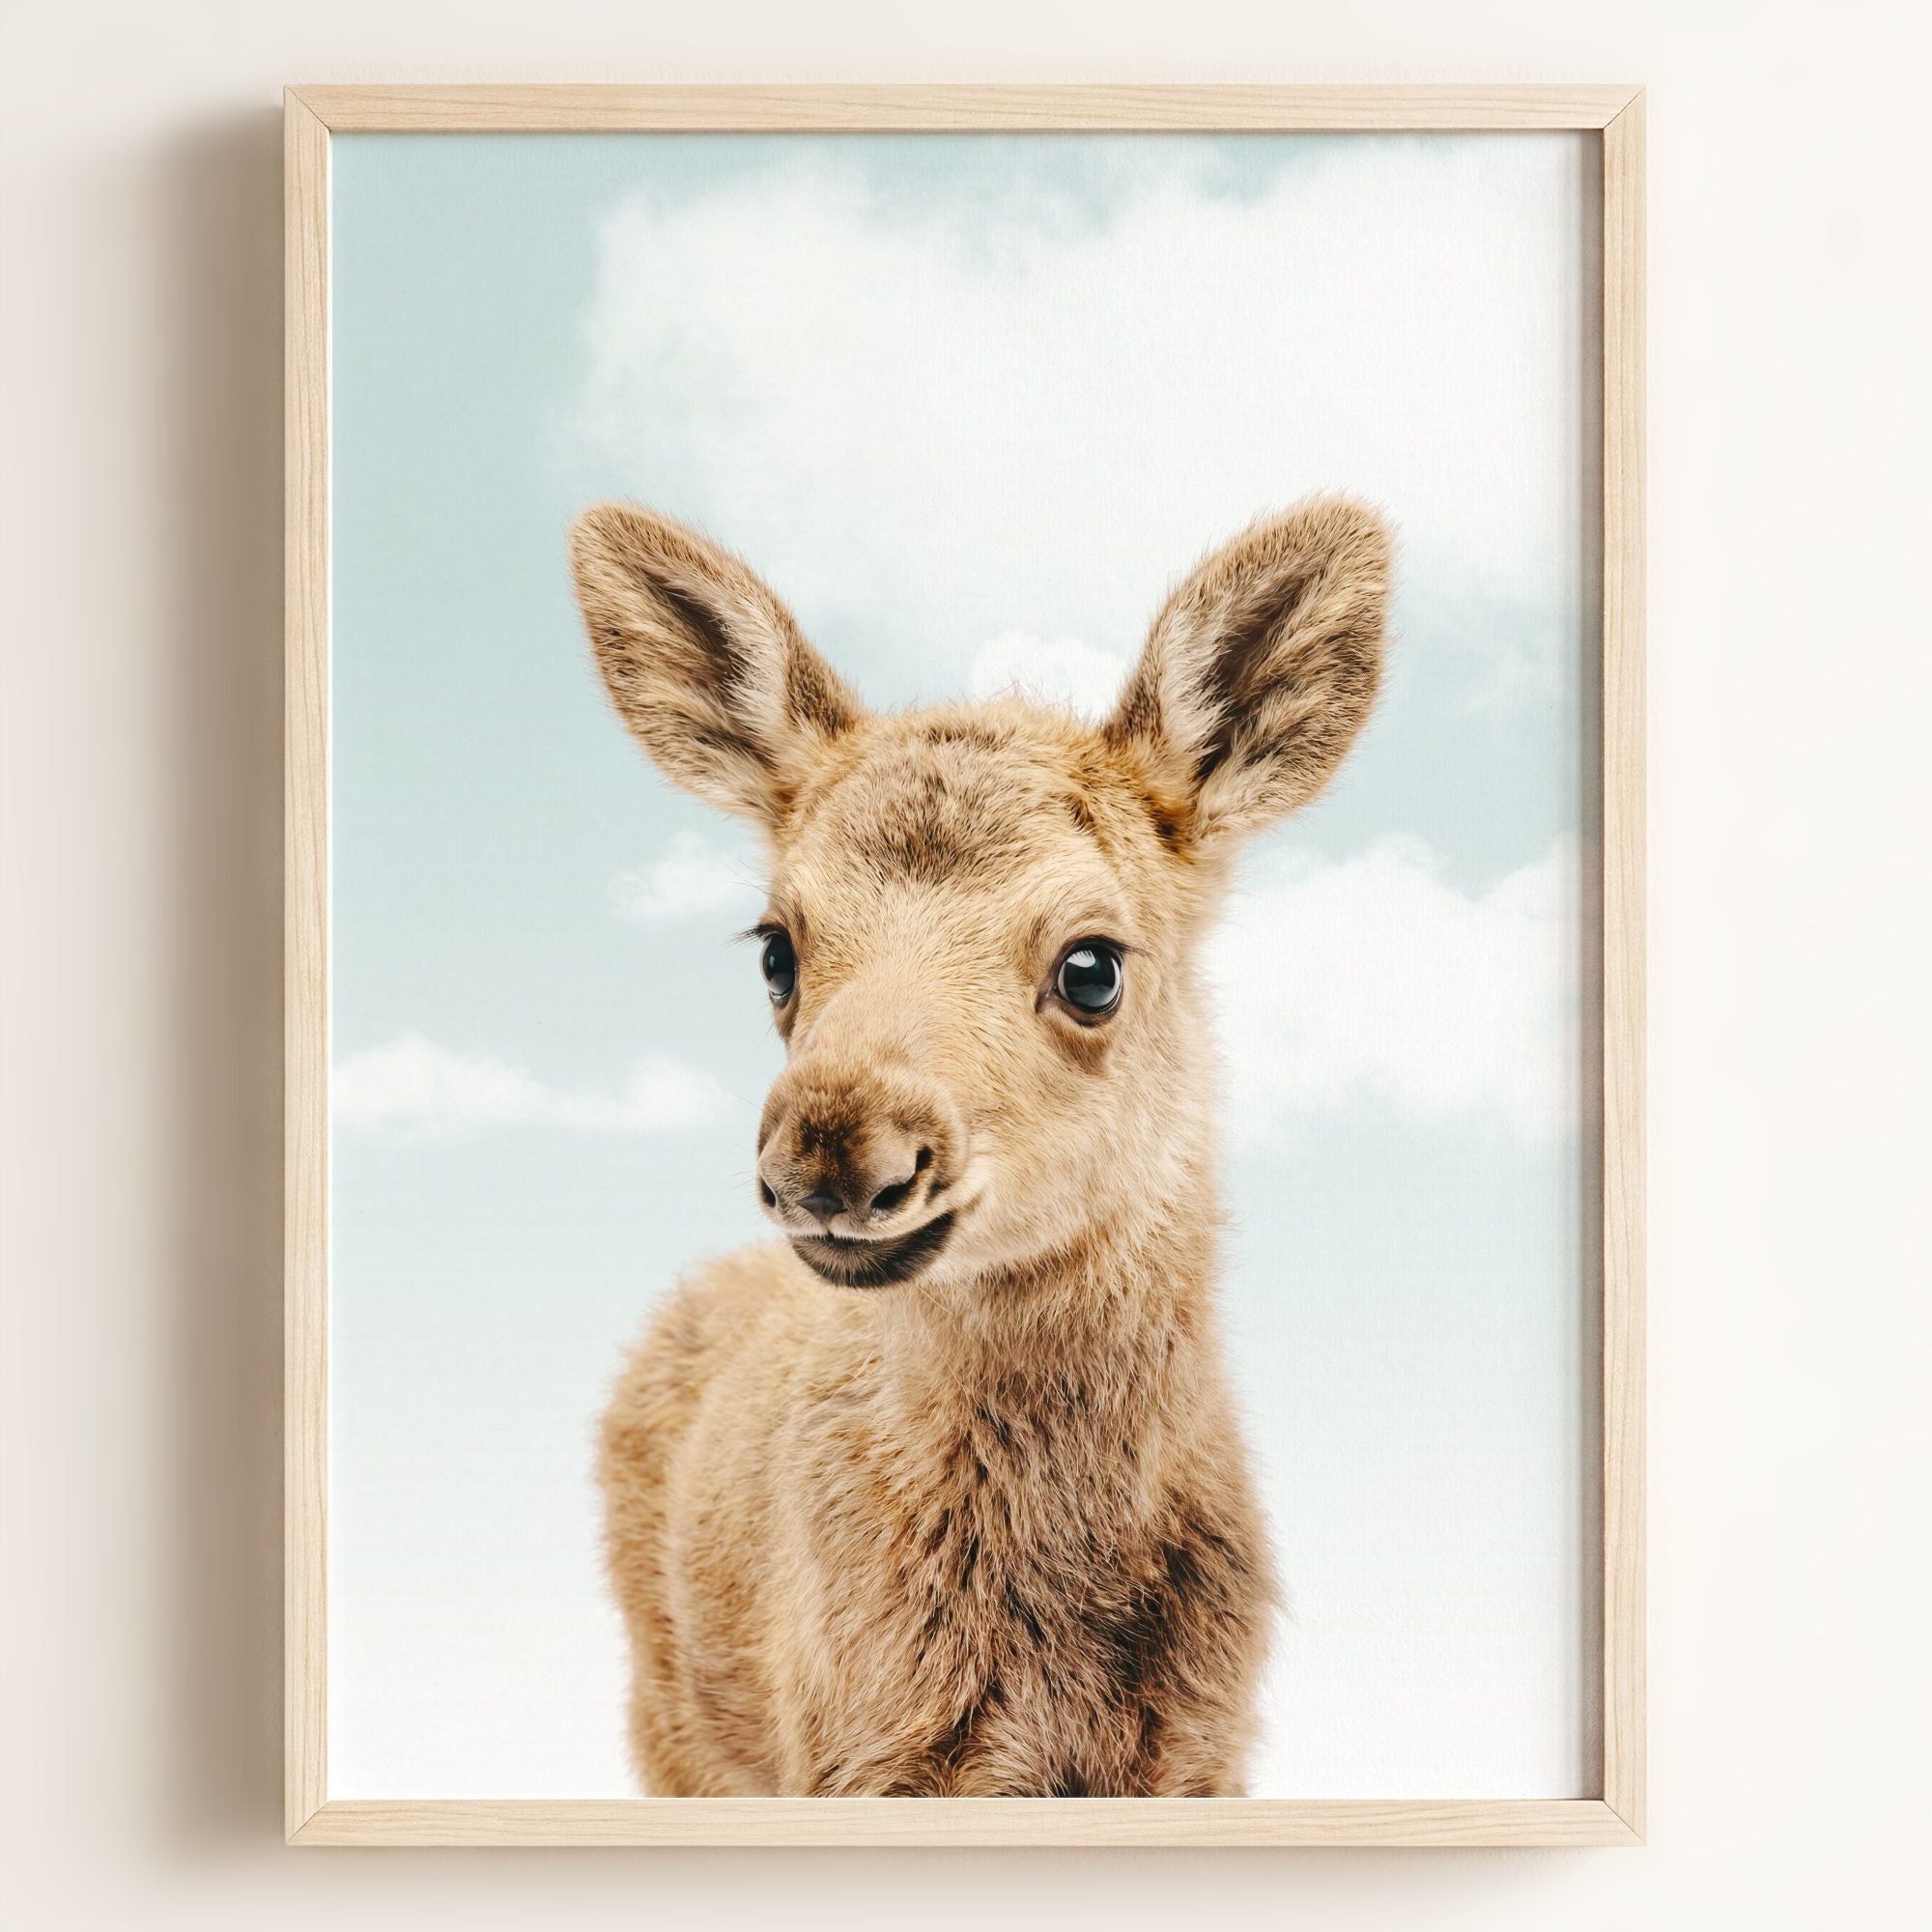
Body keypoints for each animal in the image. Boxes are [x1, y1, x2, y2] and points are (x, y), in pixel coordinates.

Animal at [570, 494, 1392, 1797]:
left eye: (1091, 964)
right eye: (776, 947)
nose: (833, 1151)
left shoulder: (1202, 1752)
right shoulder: (849, 1751)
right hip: (671, 1719)